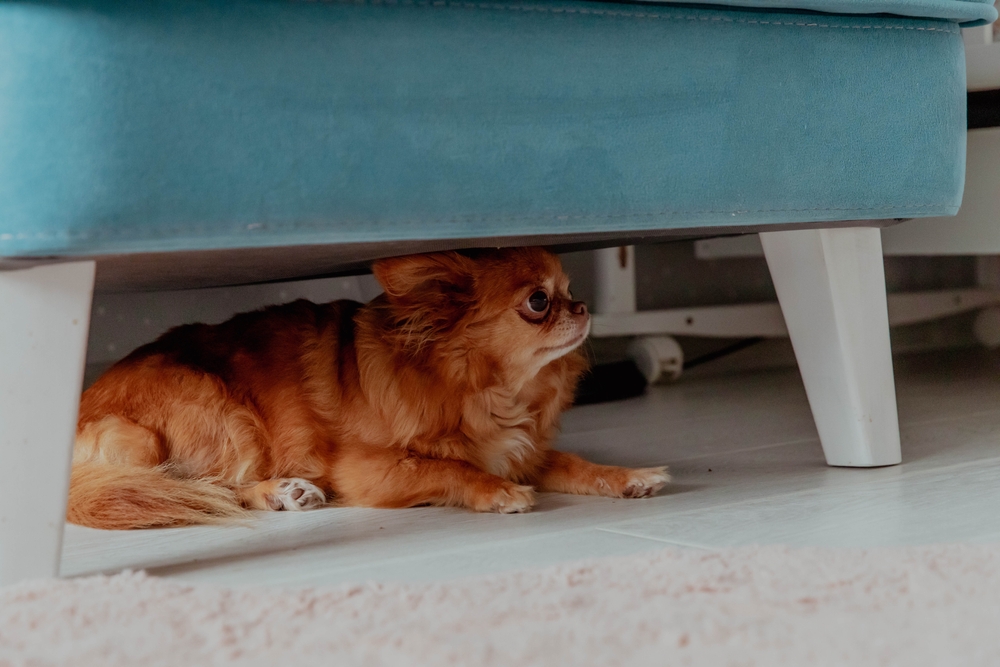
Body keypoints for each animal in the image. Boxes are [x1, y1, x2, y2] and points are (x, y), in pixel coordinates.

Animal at [68, 248, 664, 528]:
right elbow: (449, 467)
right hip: (223, 417)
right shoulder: (369, 468)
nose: (582, 306)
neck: (492, 393)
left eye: (568, 288)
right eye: (539, 302)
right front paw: (495, 492)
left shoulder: (522, 450)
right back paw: (280, 490)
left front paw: (628, 477)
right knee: (204, 488)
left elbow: (574, 463)